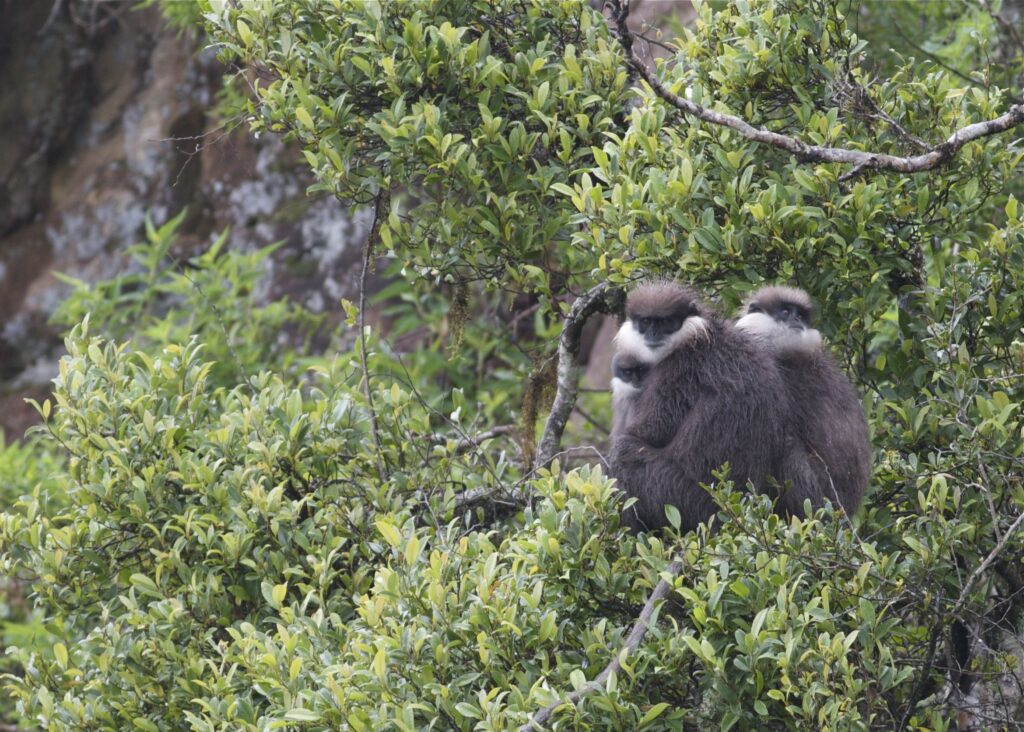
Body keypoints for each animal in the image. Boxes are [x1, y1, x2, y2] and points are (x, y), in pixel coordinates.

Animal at [606, 284, 790, 532]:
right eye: (646, 322)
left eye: (666, 322)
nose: (653, 335)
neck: (700, 335)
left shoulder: (677, 370)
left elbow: (644, 433)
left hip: (684, 500)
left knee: (624, 453)